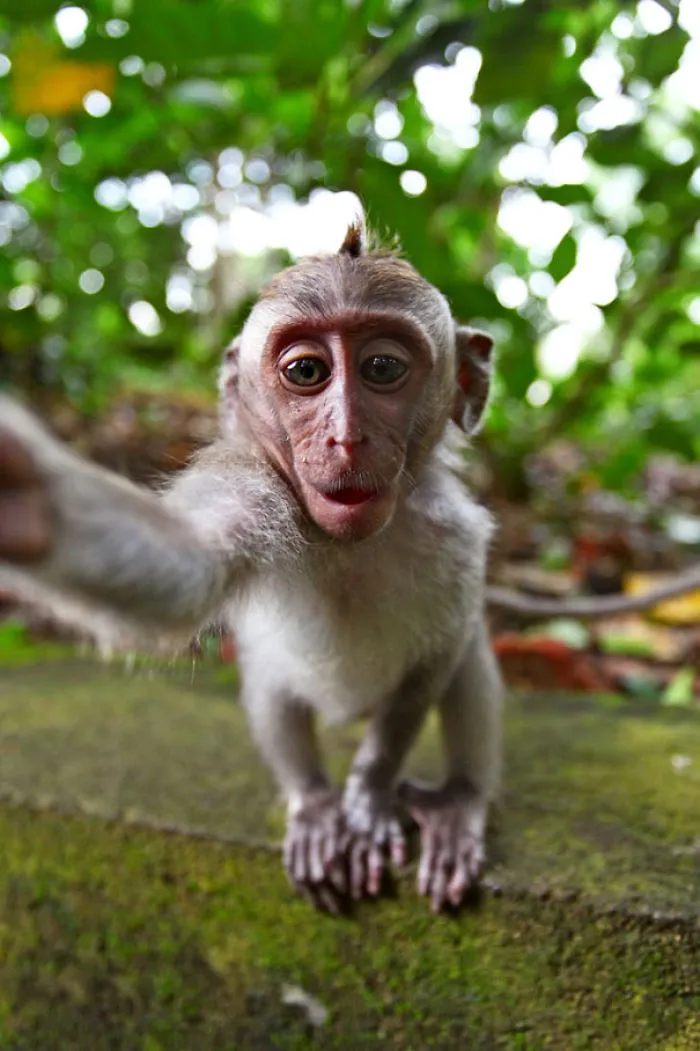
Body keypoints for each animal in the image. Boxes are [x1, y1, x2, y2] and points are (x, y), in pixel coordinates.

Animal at [0, 219, 503, 915]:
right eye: (307, 371)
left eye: (382, 368)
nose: (346, 438)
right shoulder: (252, 486)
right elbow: (188, 567)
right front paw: (31, 498)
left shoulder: (456, 537)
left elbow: (440, 655)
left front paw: (371, 791)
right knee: (271, 681)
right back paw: (314, 802)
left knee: (467, 660)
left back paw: (457, 803)